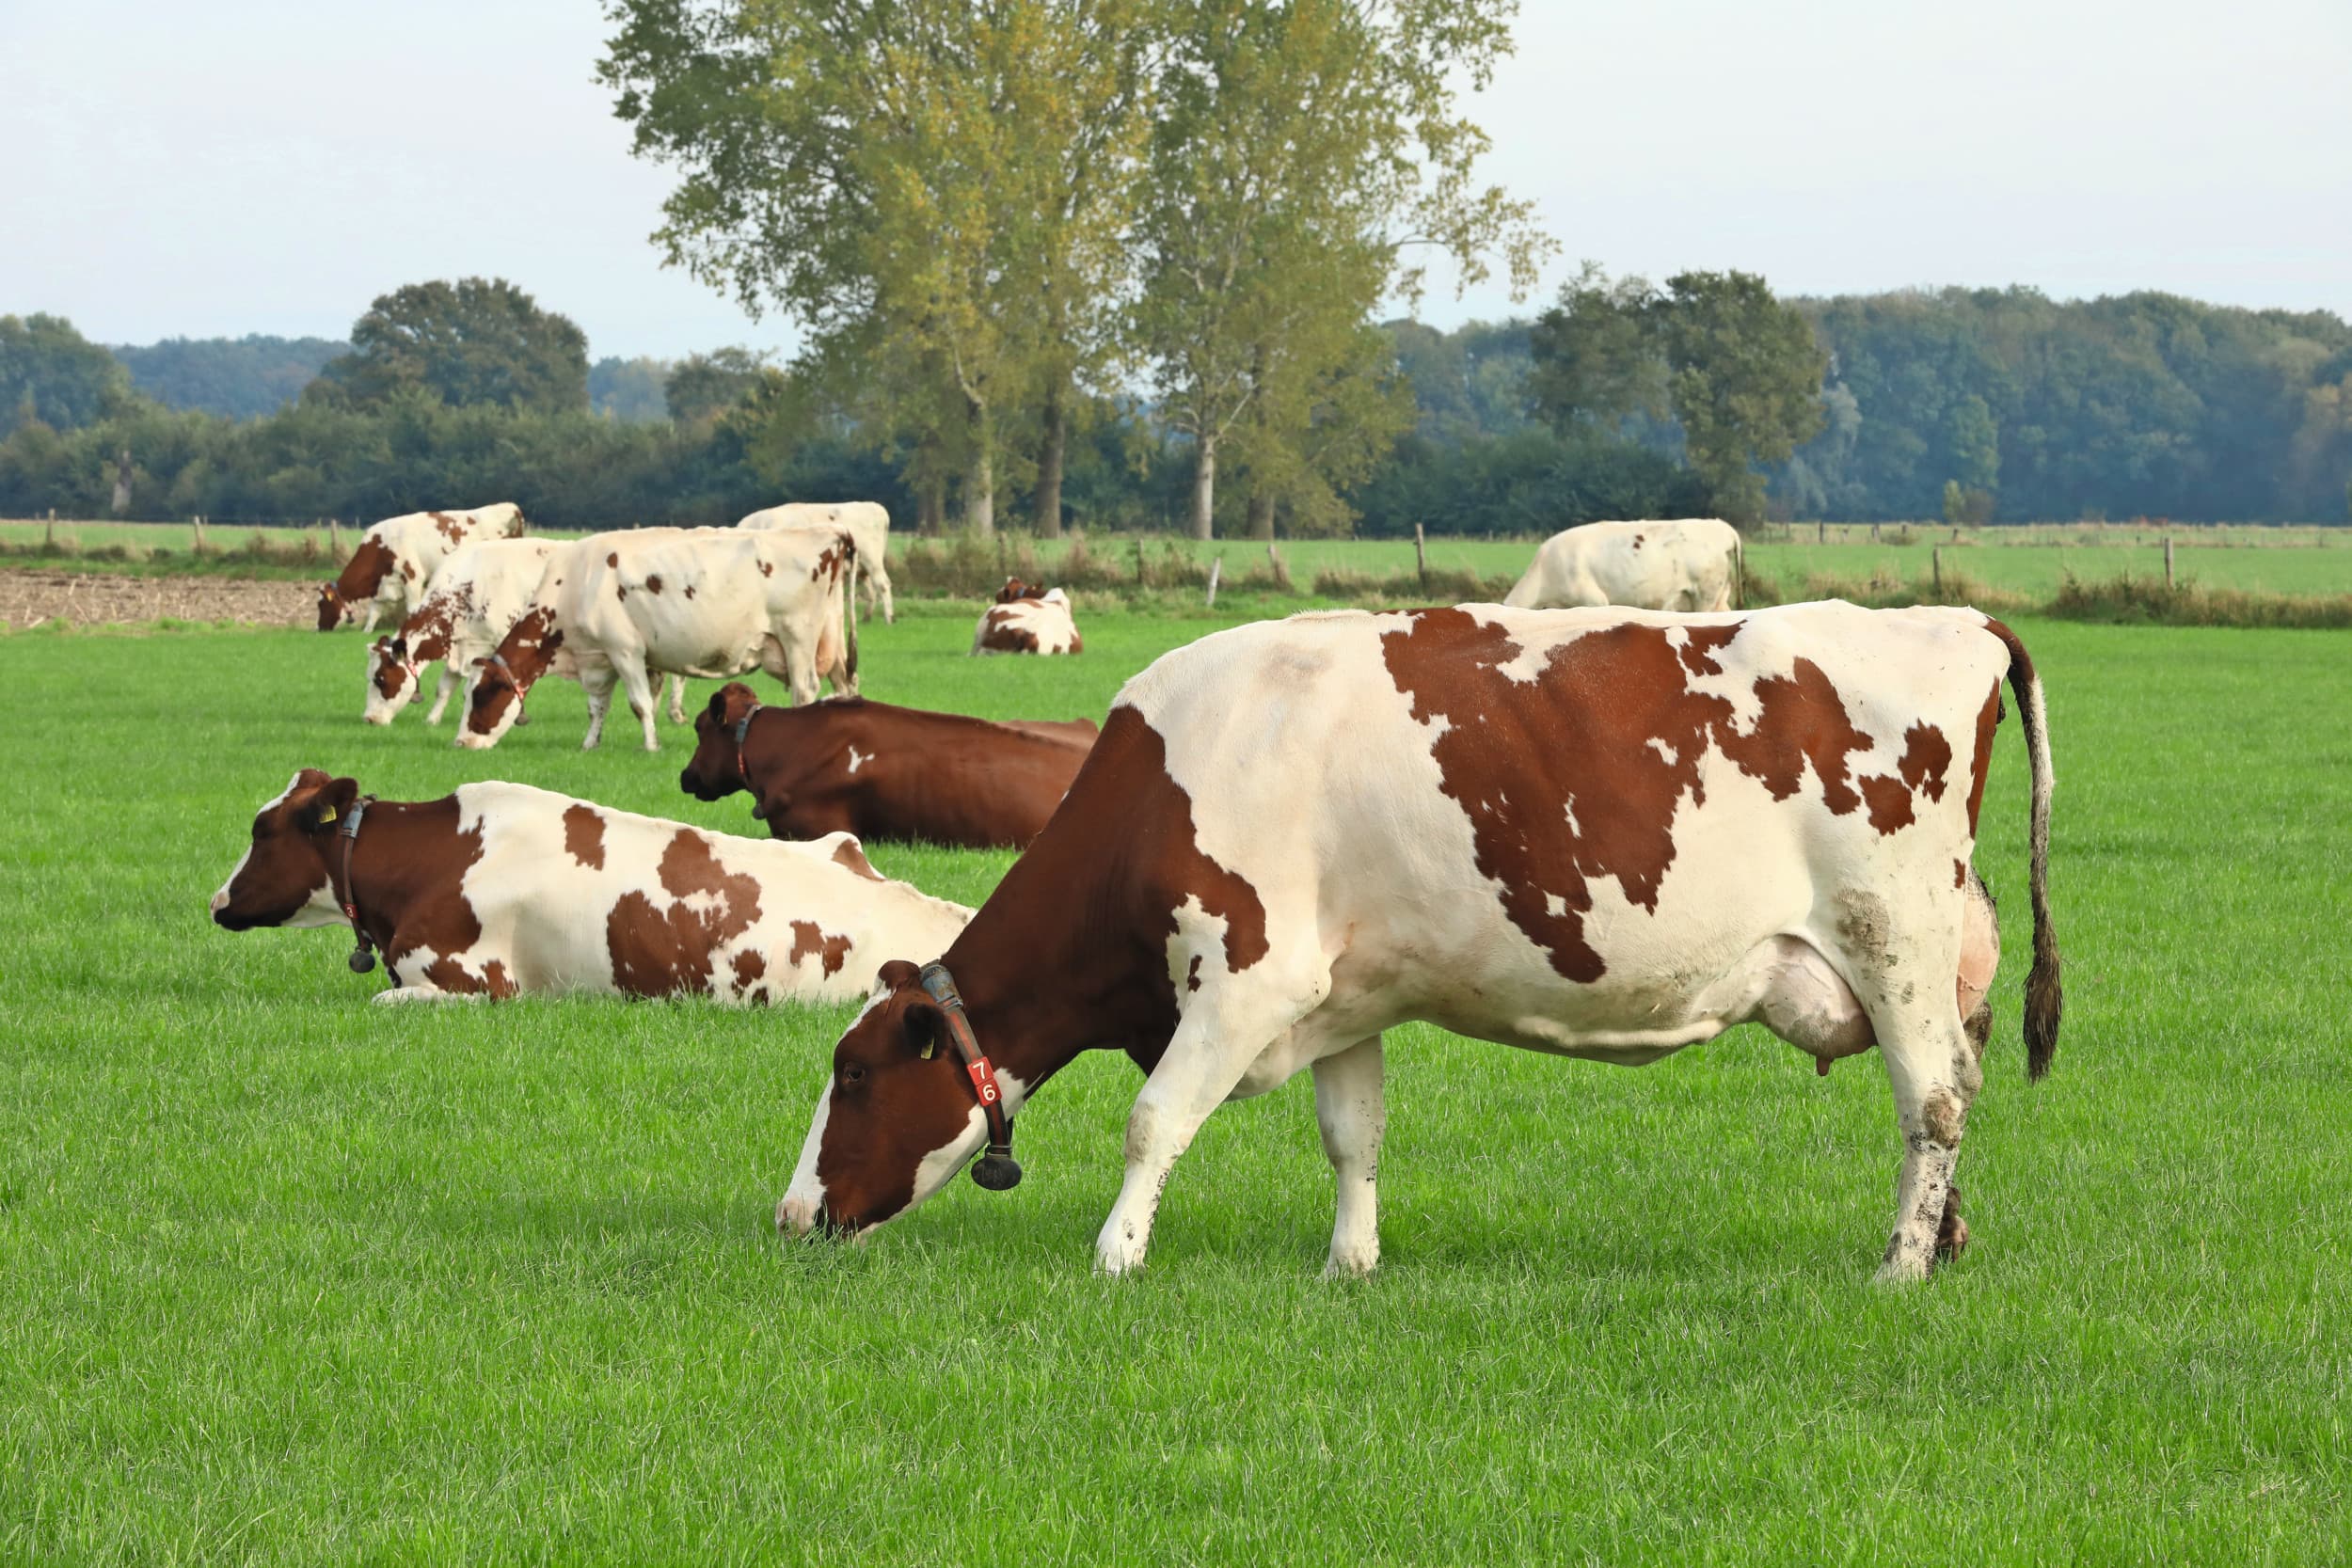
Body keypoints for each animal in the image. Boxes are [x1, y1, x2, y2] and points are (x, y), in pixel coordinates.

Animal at [317, 503, 527, 632]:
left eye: (321, 604)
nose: (319, 628)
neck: (380, 546)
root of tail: (510, 506)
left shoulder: (412, 577)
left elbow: (412, 609)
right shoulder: (383, 585)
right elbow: (373, 613)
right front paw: (366, 632)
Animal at [458, 526, 858, 753]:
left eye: (481, 696)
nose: (461, 742)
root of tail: (831, 534)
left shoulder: (625, 650)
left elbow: (639, 704)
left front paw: (651, 747)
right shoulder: (601, 657)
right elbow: (598, 706)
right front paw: (590, 744)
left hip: (798, 638)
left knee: (805, 690)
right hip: (833, 640)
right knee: (845, 685)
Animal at [738, 502, 895, 624]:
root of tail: (876, 507)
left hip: (872, 560)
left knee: (883, 584)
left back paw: (889, 618)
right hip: (861, 566)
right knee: (871, 589)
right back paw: (867, 618)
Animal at [773, 601, 2061, 1286]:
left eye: (853, 1073)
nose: (792, 1216)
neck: (1170, 772)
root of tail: (1956, 619)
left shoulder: (1247, 977)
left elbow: (1153, 1120)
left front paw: (1116, 1254)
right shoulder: (1345, 993)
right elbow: (1354, 1135)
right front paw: (1349, 1263)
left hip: (1890, 936)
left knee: (1933, 1097)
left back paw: (1897, 1262)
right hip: (1933, 957)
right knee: (1952, 1086)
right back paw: (1942, 1240)